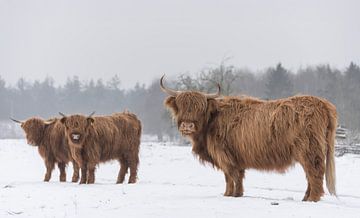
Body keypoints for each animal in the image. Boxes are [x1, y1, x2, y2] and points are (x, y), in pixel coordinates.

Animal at [160, 75, 338, 201]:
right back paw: (305, 198)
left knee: (314, 172)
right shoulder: (234, 157)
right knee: (310, 175)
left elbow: (230, 176)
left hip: (309, 149)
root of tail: (322, 103)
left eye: (200, 108)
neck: (211, 120)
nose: (187, 125)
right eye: (181, 105)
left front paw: (230, 195)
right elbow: (234, 176)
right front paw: (234, 194)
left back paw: (312, 199)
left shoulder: (225, 155)